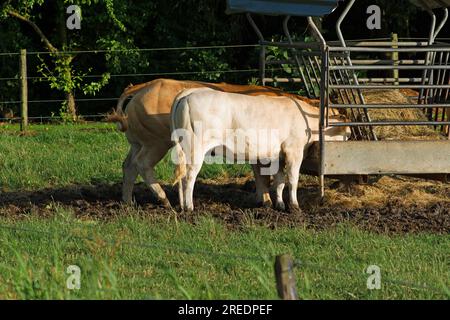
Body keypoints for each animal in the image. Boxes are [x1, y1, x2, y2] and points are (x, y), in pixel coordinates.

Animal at [171, 88, 350, 212]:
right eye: (347, 135)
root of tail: (189, 93)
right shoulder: (294, 151)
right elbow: (292, 179)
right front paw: (294, 206)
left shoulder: (278, 155)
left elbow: (279, 181)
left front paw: (280, 204)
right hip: (195, 148)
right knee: (189, 176)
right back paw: (189, 207)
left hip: (183, 149)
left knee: (181, 176)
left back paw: (181, 205)